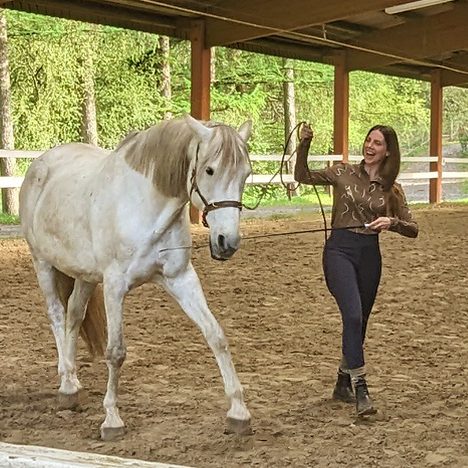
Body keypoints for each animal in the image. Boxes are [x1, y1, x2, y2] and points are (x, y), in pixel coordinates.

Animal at [19, 115, 252, 440]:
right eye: (210, 169)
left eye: (245, 174)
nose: (226, 242)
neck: (146, 208)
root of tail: (41, 163)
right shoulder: (115, 286)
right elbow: (115, 352)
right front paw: (112, 419)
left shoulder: (180, 278)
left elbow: (216, 336)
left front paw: (238, 412)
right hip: (42, 263)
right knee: (55, 315)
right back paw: (66, 385)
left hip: (85, 275)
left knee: (74, 315)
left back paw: (74, 383)